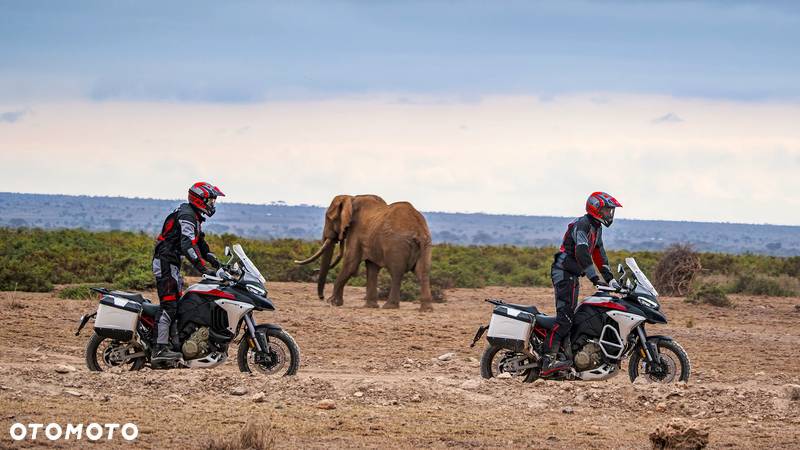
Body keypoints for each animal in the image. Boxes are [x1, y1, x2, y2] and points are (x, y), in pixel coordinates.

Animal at [296, 193, 434, 312]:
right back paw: (426, 309)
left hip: (397, 245)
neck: (351, 198)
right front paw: (370, 306)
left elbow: (351, 264)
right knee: (423, 272)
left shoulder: (356, 231)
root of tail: (418, 230)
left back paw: (389, 306)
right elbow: (372, 267)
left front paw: (333, 302)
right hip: (426, 244)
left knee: (396, 272)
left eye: (330, 219)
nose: (322, 298)